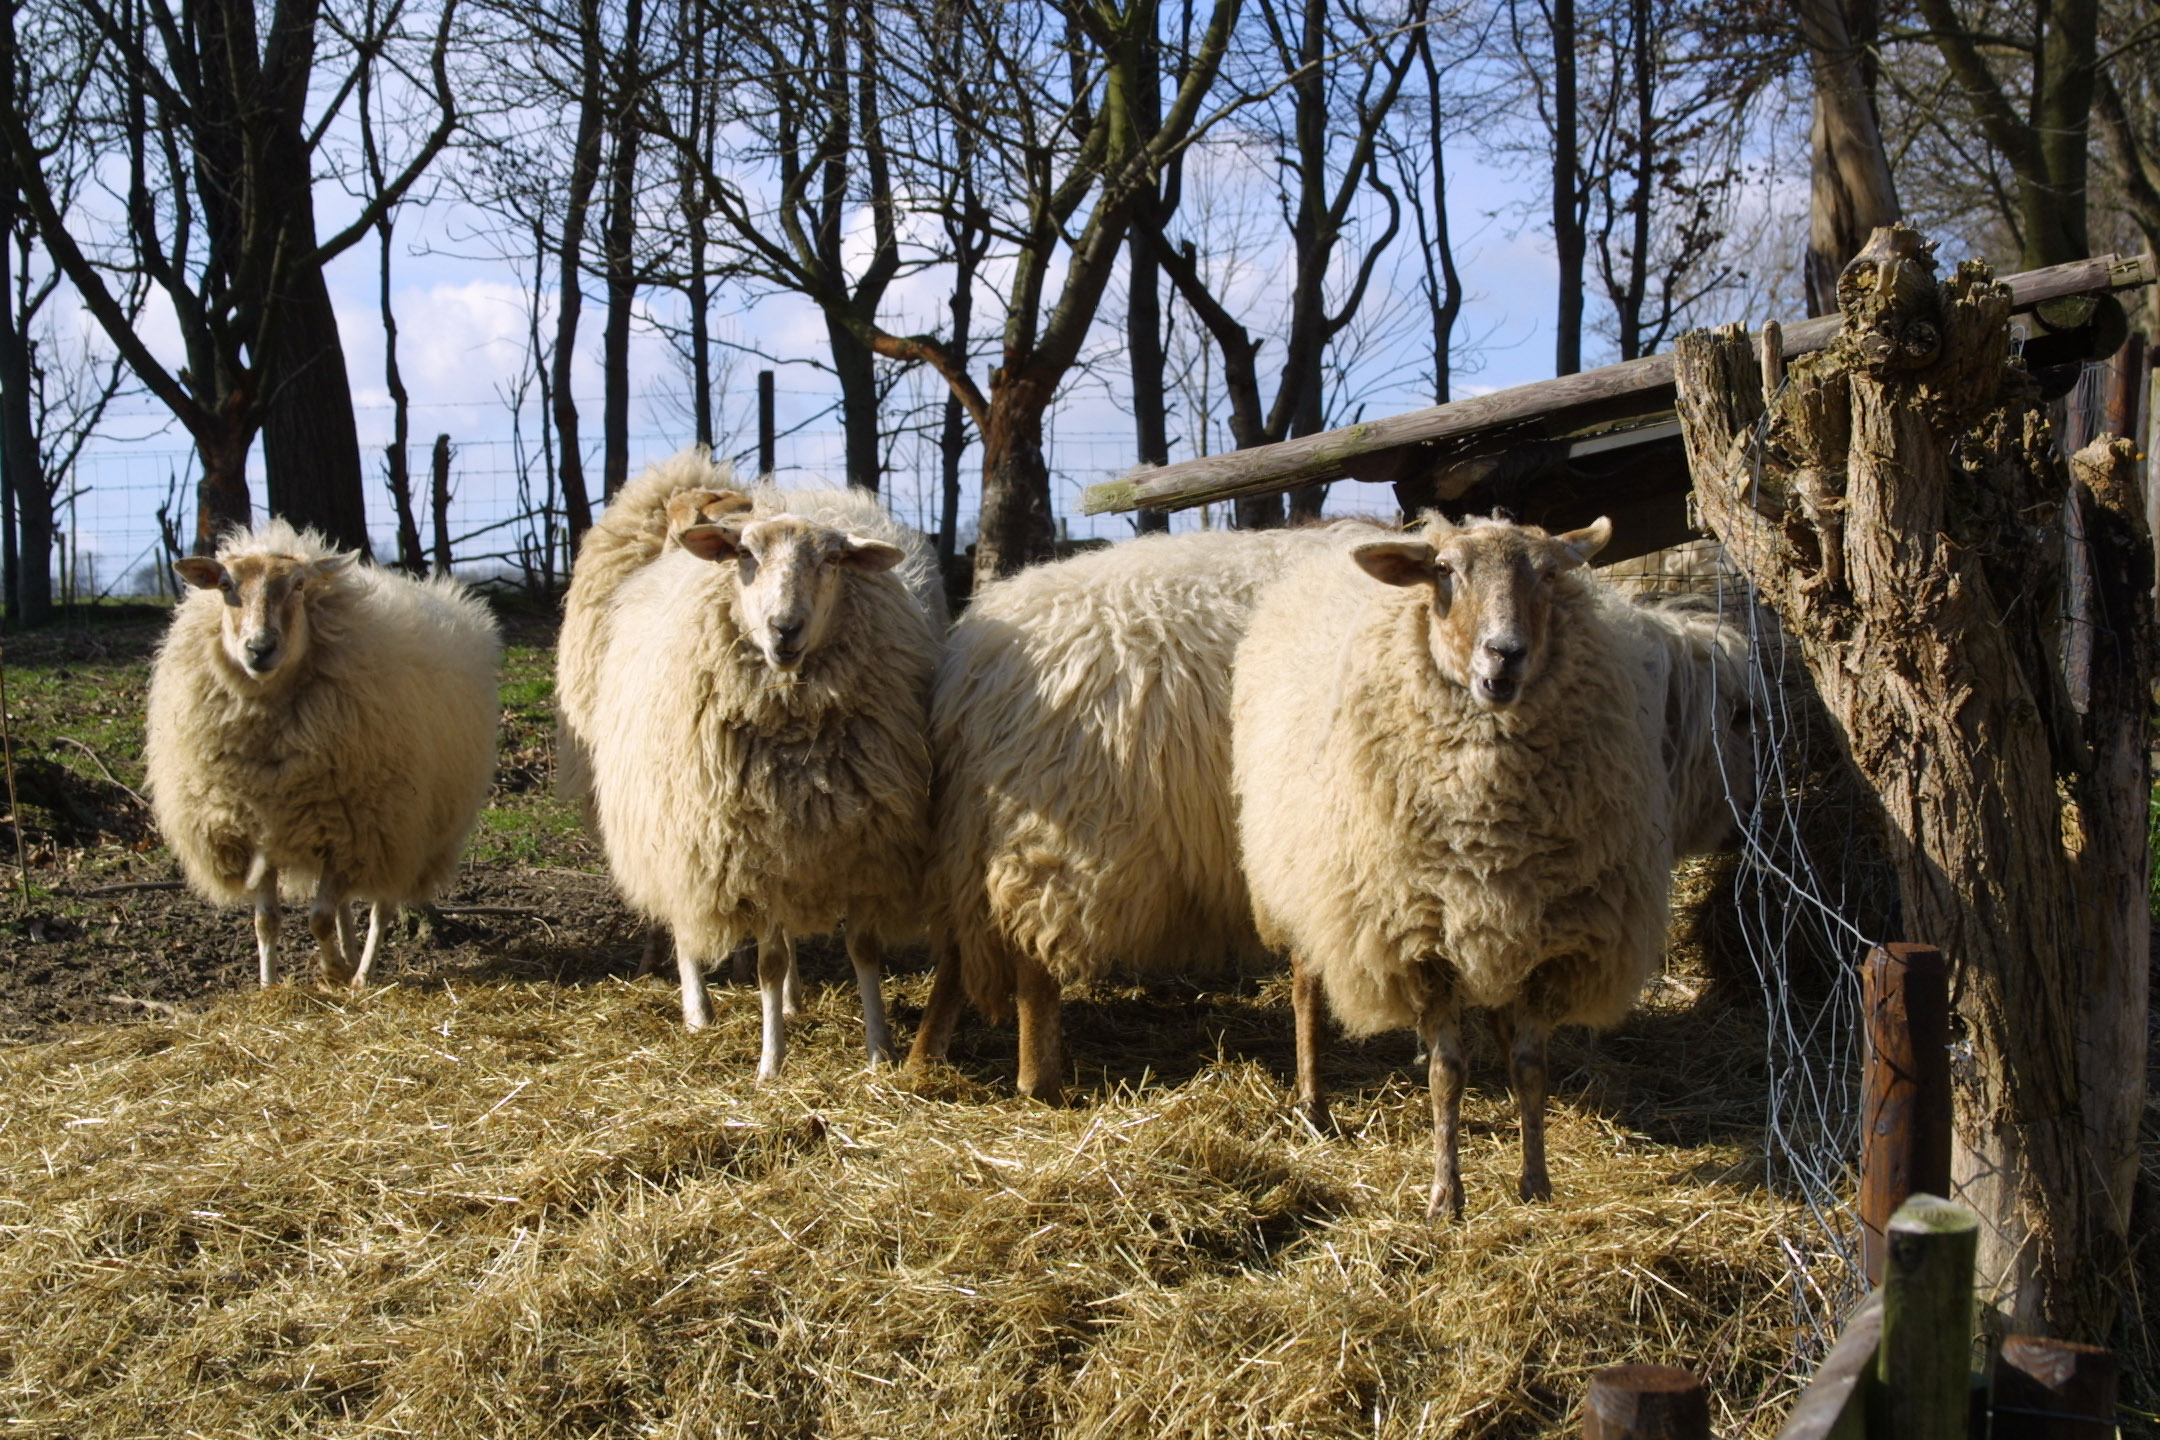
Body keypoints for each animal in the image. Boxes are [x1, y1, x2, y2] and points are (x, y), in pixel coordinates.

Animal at [147, 518, 501, 993]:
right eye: (225, 585)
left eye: (299, 585)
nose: (260, 649)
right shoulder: (262, 831)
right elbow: (266, 920)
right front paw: (270, 985)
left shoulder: (354, 826)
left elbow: (317, 917)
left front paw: (332, 970)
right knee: (345, 903)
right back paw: (349, 954)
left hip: (399, 826)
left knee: (380, 905)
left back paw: (361, 973)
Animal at [578, 464, 941, 1079]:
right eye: (744, 554)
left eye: (834, 559)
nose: (784, 628)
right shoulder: (748, 857)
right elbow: (767, 961)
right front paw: (771, 1062)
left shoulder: (862, 848)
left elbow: (863, 950)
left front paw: (878, 1051)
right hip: (678, 835)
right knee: (686, 925)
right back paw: (699, 1011)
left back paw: (793, 1002)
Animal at [902, 524, 1373, 1096]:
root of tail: (972, 666)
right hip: (1060, 824)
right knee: (1033, 955)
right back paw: (1039, 1082)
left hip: (971, 833)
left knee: (955, 949)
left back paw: (922, 1062)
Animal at [1235, 511, 1753, 1226]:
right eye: (1444, 572)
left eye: (1550, 572)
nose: (1504, 653)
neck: (1490, 823)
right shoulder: (1417, 944)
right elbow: (1448, 1074)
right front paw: (1444, 1196)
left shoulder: (1552, 942)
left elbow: (1532, 1064)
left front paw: (1535, 1181)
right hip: (1304, 882)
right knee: (1307, 989)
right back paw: (1313, 1102)